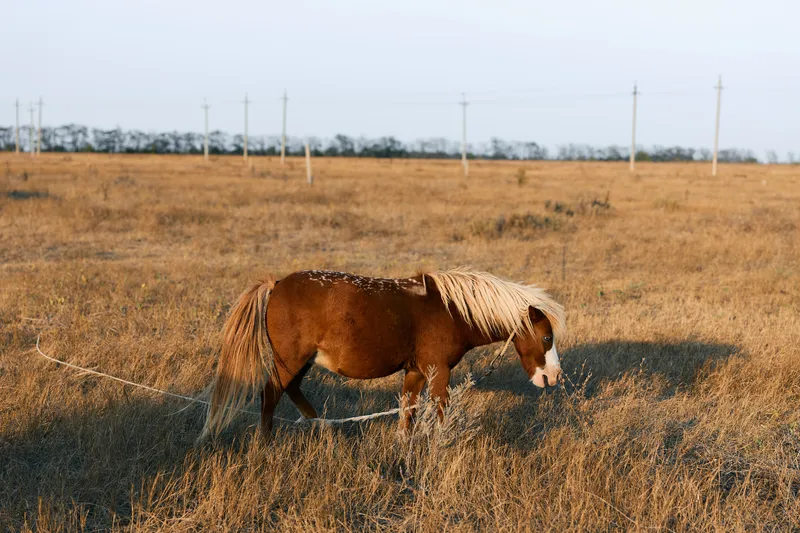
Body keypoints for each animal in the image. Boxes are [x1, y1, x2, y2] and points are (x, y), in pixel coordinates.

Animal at [200, 268, 566, 440]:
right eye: (546, 337)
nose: (553, 377)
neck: (451, 310)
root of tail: (276, 285)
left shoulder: (416, 371)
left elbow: (408, 411)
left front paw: (404, 446)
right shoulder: (439, 371)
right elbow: (439, 410)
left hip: (301, 362)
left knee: (290, 390)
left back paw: (322, 427)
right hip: (290, 360)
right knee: (270, 394)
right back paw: (266, 442)